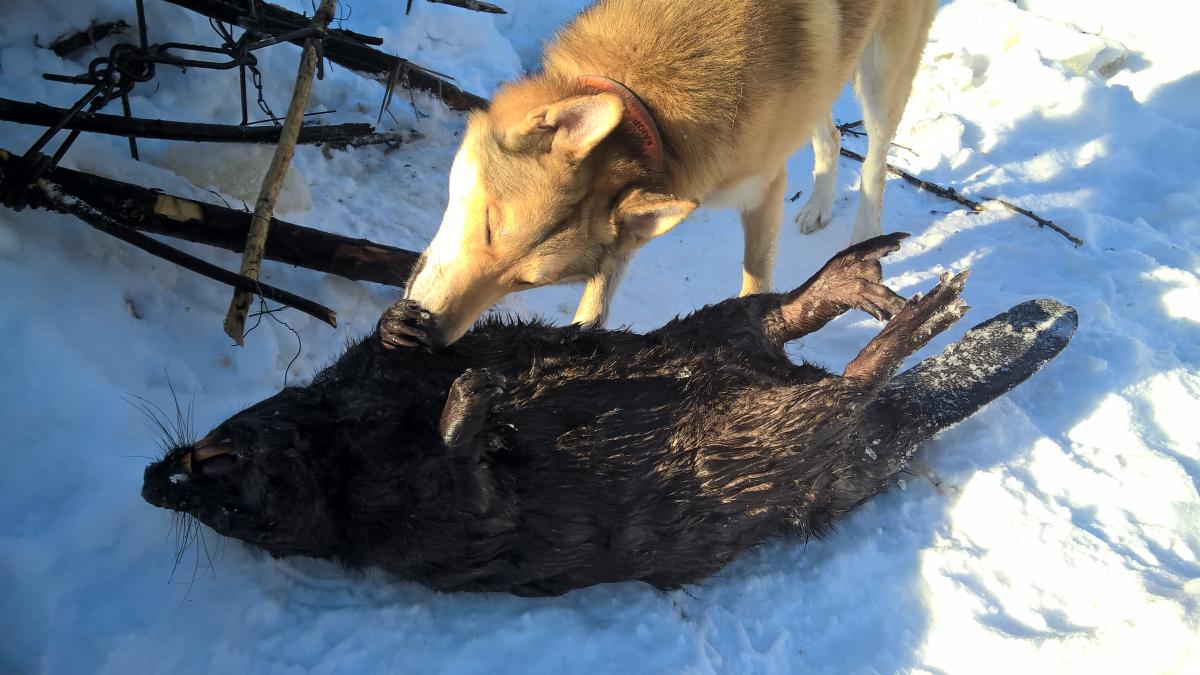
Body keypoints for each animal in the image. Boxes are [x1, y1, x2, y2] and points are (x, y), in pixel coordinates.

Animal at [396, 0, 937, 348]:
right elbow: (597, 298)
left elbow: (755, 278)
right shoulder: (633, 224)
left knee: (875, 160)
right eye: (488, 226)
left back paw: (865, 234)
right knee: (830, 136)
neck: (645, 106)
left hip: (882, 75)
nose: (426, 333)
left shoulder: (764, 190)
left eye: (527, 282)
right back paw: (820, 205)